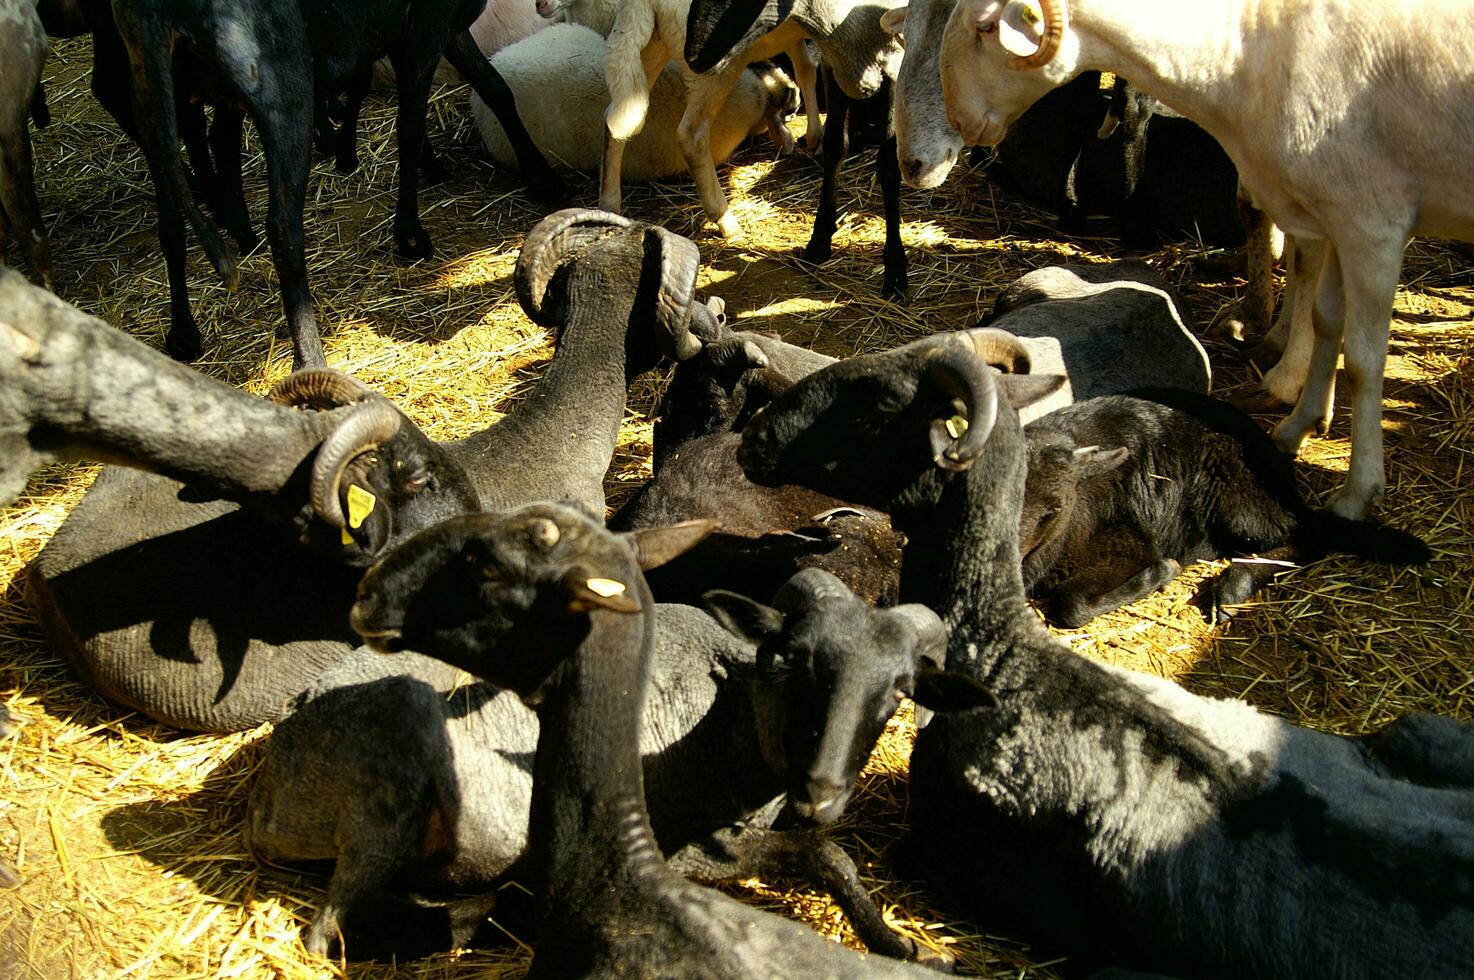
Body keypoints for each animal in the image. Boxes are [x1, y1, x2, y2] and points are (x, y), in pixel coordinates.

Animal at [896, 0, 1474, 518]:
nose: (917, 159)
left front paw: (1355, 489)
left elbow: (1362, 357)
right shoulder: (1329, 210)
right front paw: (1297, 411)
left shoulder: (1371, 221)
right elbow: (1325, 315)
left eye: (985, 27)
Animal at [1014, 386, 1426, 621]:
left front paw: (1161, 572)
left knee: (1304, 536)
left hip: (1240, 503)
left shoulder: (1127, 540)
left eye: (1054, 508)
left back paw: (1234, 585)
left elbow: (1069, 605)